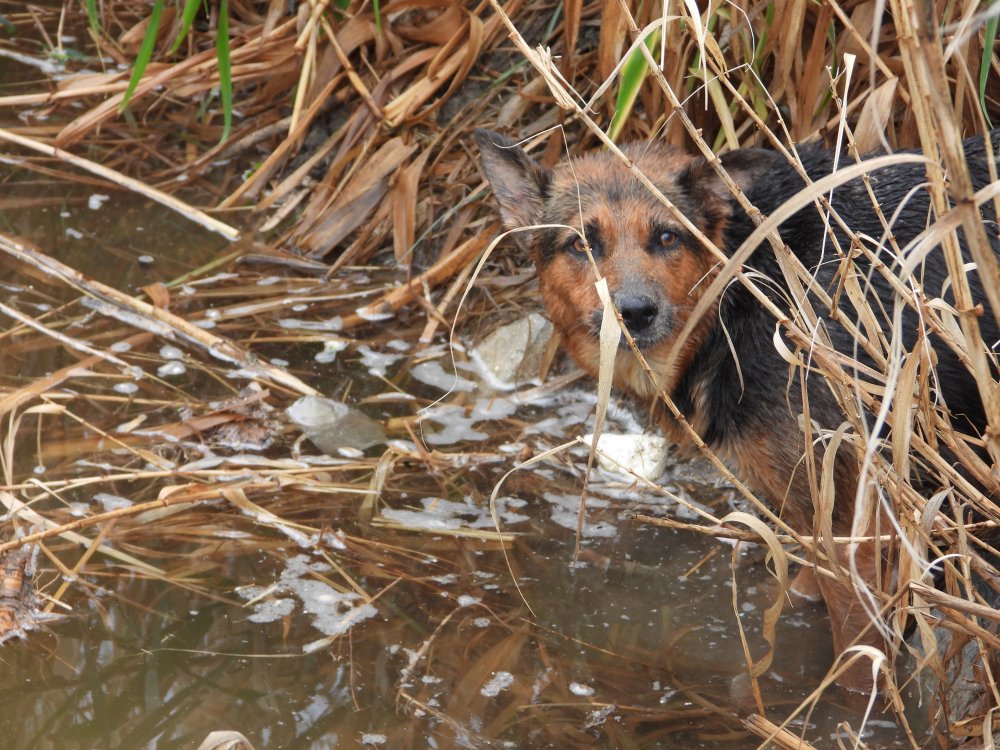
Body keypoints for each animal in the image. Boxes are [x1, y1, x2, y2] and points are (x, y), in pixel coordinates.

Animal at [476, 128, 1000, 692]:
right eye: (580, 244)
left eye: (668, 237)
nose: (634, 313)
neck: (741, 287)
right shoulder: (818, 517)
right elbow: (800, 590)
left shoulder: (856, 530)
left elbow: (859, 666)